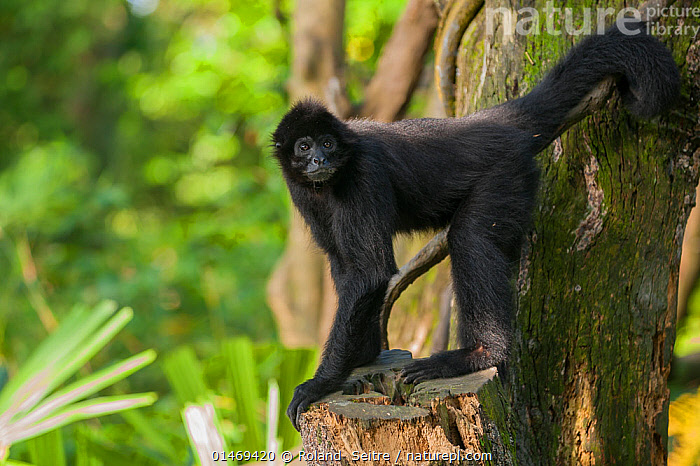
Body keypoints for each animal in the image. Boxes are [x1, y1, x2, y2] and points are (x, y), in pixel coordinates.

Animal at [271, 20, 680, 430]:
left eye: (327, 143)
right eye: (304, 147)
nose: (320, 159)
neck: (333, 179)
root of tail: (484, 123)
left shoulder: (362, 174)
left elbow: (370, 273)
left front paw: (322, 383)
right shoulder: (302, 194)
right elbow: (345, 267)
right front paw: (360, 359)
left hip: (506, 174)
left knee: (470, 238)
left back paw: (480, 354)